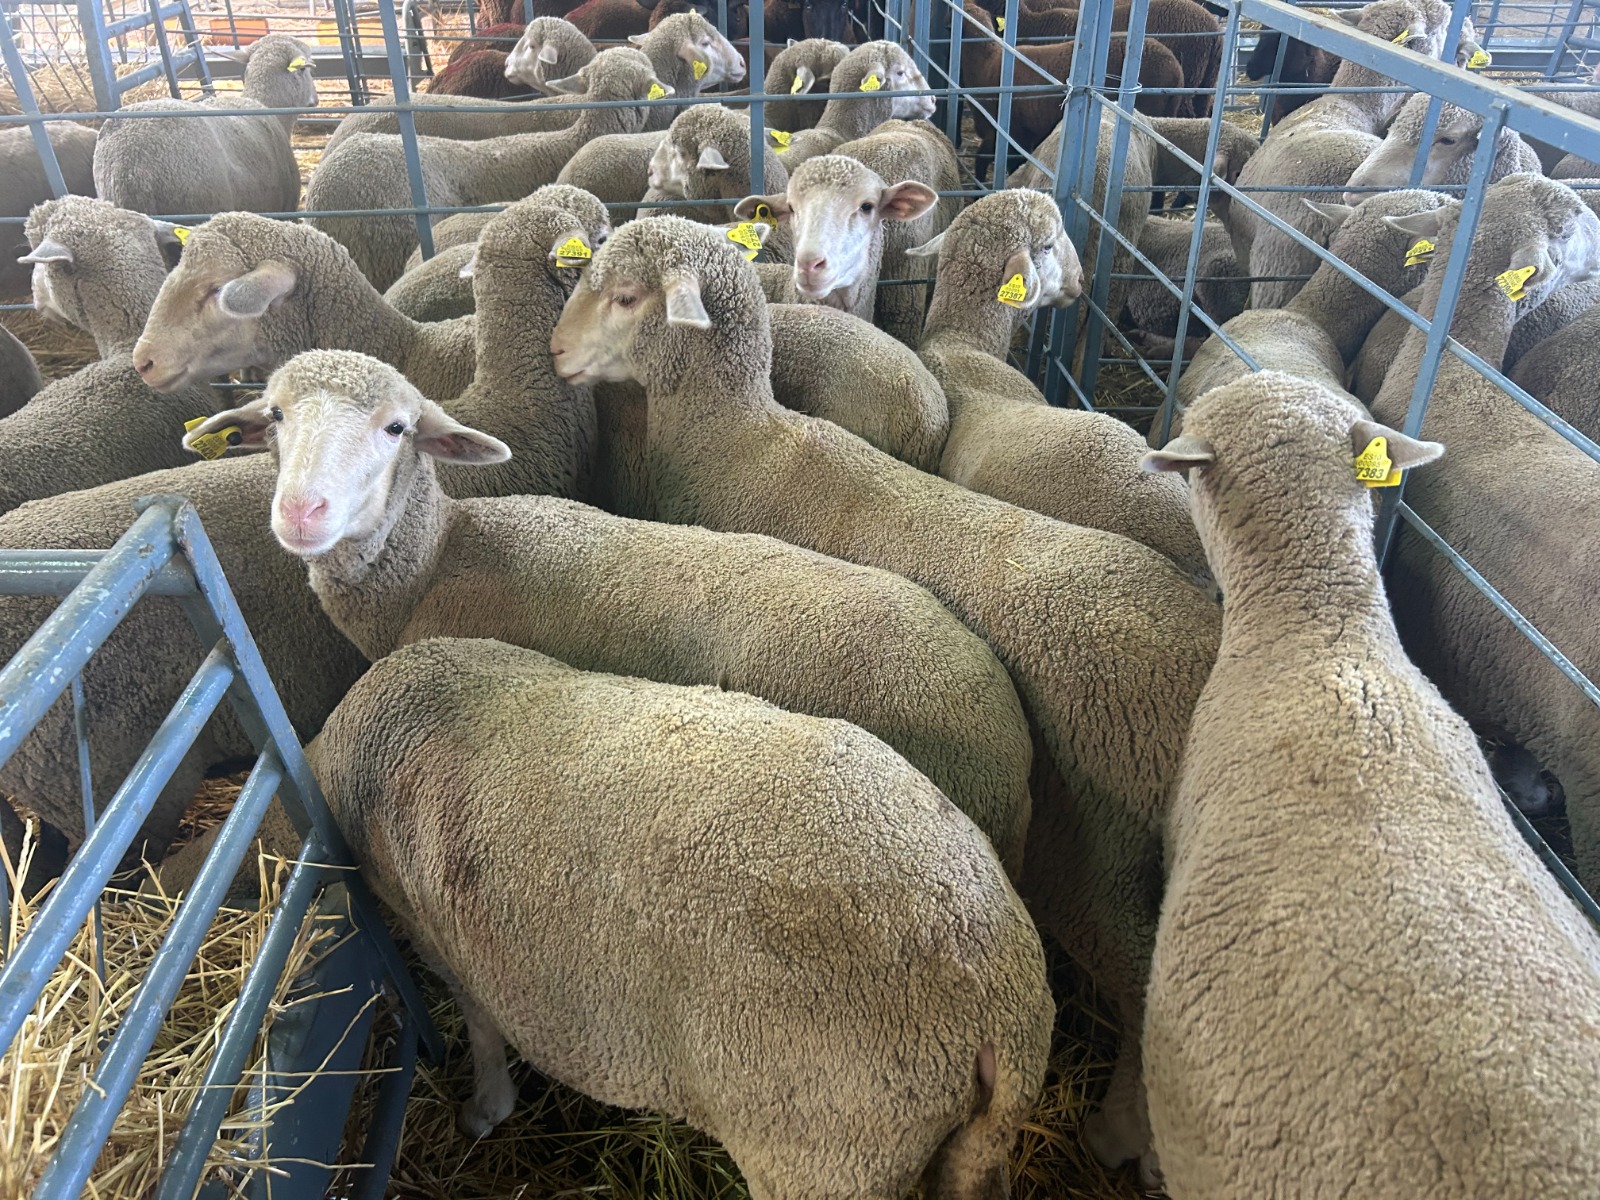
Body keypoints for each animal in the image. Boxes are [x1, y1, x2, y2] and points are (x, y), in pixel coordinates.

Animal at [304, 635, 1054, 1196]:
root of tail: (1002, 1013)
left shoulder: (439, 935)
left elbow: (483, 1030)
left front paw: (484, 1111)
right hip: (965, 1151)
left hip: (829, 1149)